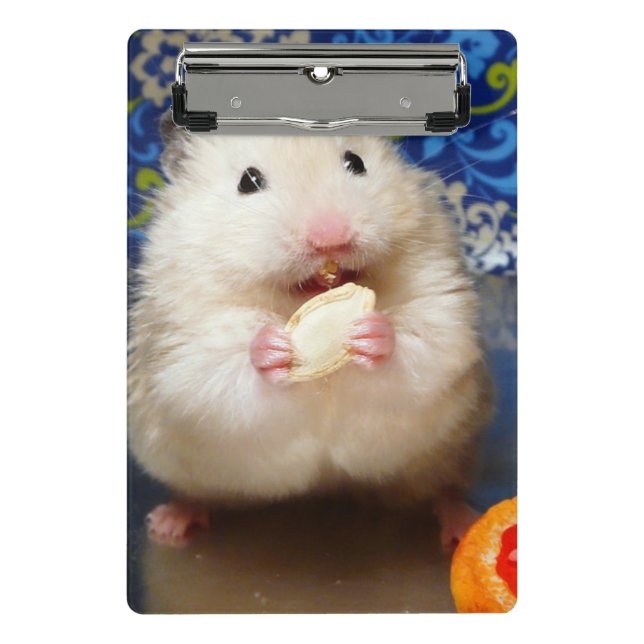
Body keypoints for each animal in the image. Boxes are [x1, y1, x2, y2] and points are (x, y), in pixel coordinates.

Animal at [128, 113, 493, 549]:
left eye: (355, 162)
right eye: (248, 181)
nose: (331, 237)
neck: (295, 301)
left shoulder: (442, 304)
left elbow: (425, 344)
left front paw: (371, 333)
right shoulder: (181, 346)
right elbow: (219, 372)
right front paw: (272, 348)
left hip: (451, 453)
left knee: (443, 489)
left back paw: (463, 523)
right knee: (195, 494)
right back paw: (167, 524)